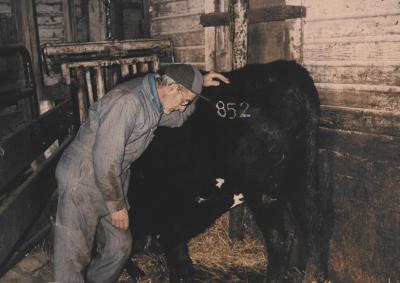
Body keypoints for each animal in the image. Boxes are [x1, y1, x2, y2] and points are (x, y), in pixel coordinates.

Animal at [126, 61, 326, 283]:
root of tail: (289, 71)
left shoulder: (170, 208)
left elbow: (174, 251)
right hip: (303, 172)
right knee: (314, 222)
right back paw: (312, 275)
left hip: (261, 187)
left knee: (280, 236)